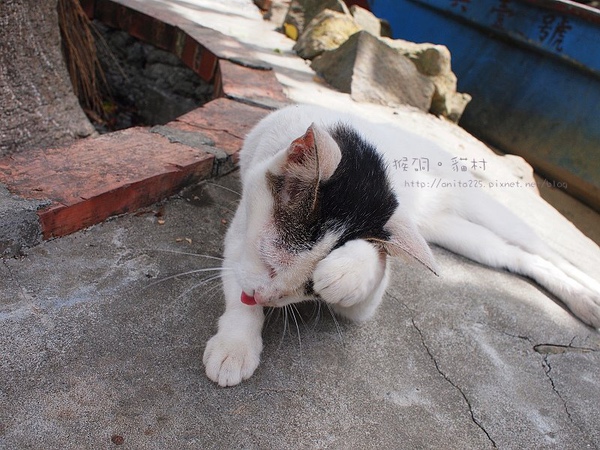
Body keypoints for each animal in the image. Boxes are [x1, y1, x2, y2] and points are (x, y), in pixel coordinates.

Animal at [202, 104, 600, 387]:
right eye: (269, 260)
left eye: (308, 289)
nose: (264, 297)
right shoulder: (240, 237)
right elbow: (235, 284)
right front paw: (236, 343)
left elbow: (374, 259)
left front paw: (343, 272)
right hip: (456, 233)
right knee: (518, 257)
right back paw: (585, 299)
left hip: (483, 207)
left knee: (544, 249)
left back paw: (588, 292)